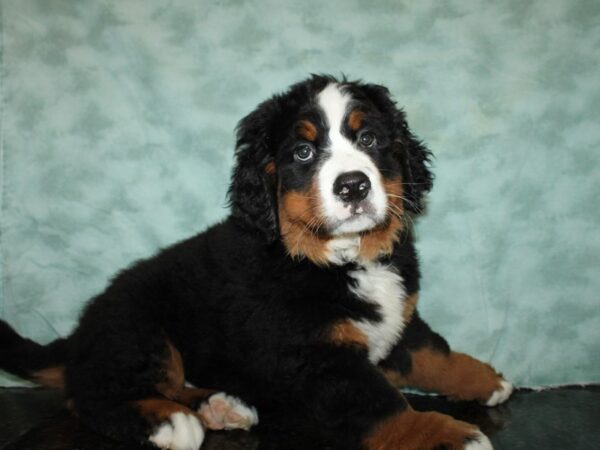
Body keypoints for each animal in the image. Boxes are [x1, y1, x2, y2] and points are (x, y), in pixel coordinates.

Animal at [2, 75, 512, 448]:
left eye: (369, 138)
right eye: (303, 152)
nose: (352, 185)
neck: (342, 258)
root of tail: (78, 335)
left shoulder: (399, 319)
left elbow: (434, 353)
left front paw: (486, 379)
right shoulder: (316, 355)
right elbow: (381, 402)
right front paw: (444, 434)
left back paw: (221, 405)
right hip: (137, 328)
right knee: (89, 396)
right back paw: (170, 423)